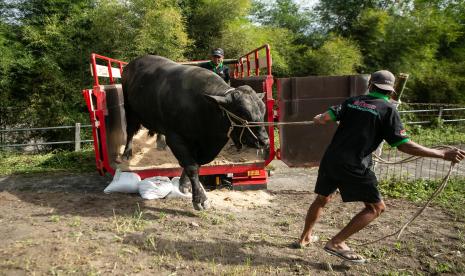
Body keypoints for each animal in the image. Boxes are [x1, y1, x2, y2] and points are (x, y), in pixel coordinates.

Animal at [121, 55, 270, 210]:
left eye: (263, 109)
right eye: (241, 113)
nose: (264, 141)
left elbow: (195, 163)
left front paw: (184, 184)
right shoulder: (175, 138)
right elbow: (191, 166)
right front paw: (200, 199)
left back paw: (160, 143)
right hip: (129, 109)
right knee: (130, 131)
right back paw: (127, 153)